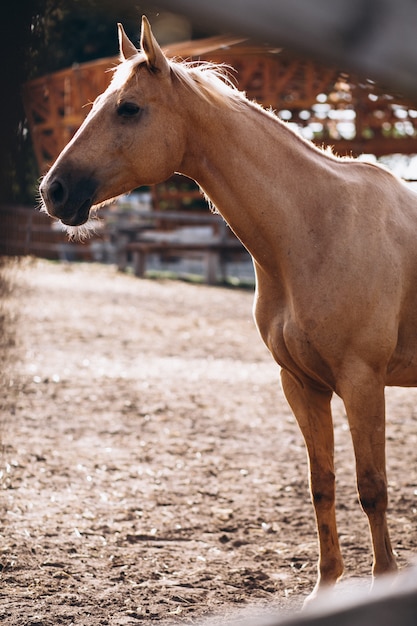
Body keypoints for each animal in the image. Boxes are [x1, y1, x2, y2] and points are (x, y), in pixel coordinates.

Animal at [39, 17, 416, 596]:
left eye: (128, 108)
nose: (53, 191)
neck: (316, 224)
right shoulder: (302, 385)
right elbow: (322, 484)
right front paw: (325, 587)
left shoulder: (361, 381)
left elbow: (371, 487)